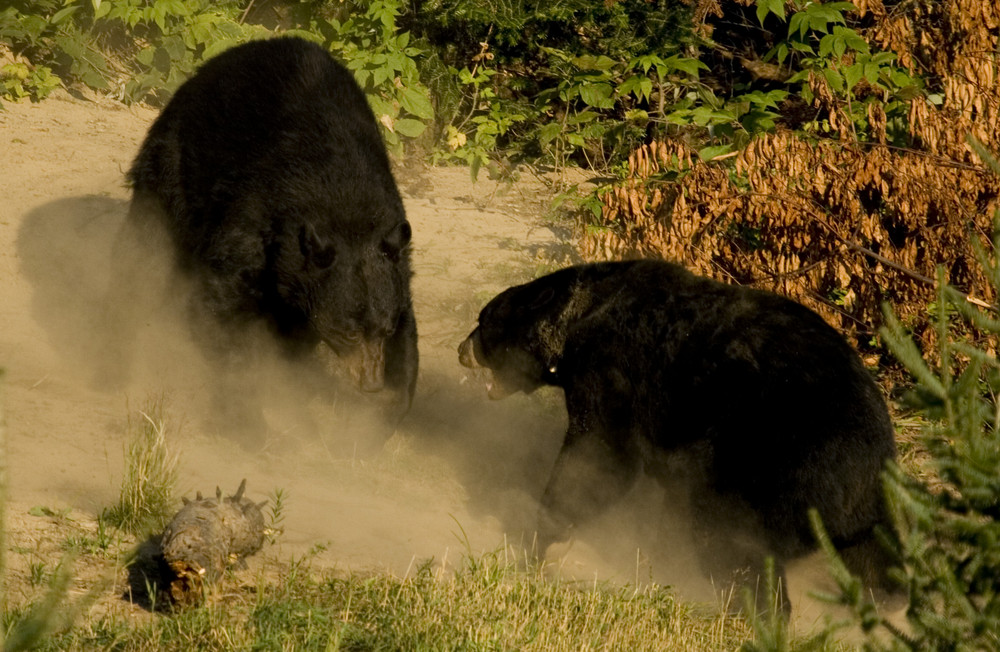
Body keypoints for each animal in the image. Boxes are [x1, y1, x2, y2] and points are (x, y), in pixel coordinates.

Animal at [108, 37, 418, 448]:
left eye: (384, 329)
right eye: (347, 331)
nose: (370, 384)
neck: (343, 200)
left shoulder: (393, 255)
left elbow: (407, 339)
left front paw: (374, 426)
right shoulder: (252, 225)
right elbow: (221, 308)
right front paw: (249, 422)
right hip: (173, 167)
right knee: (144, 251)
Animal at [460, 258, 900, 608]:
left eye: (484, 321)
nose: (462, 350)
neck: (583, 317)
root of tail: (861, 473)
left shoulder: (612, 371)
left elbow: (597, 455)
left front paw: (543, 538)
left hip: (767, 470)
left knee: (733, 546)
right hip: (865, 513)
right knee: (876, 560)